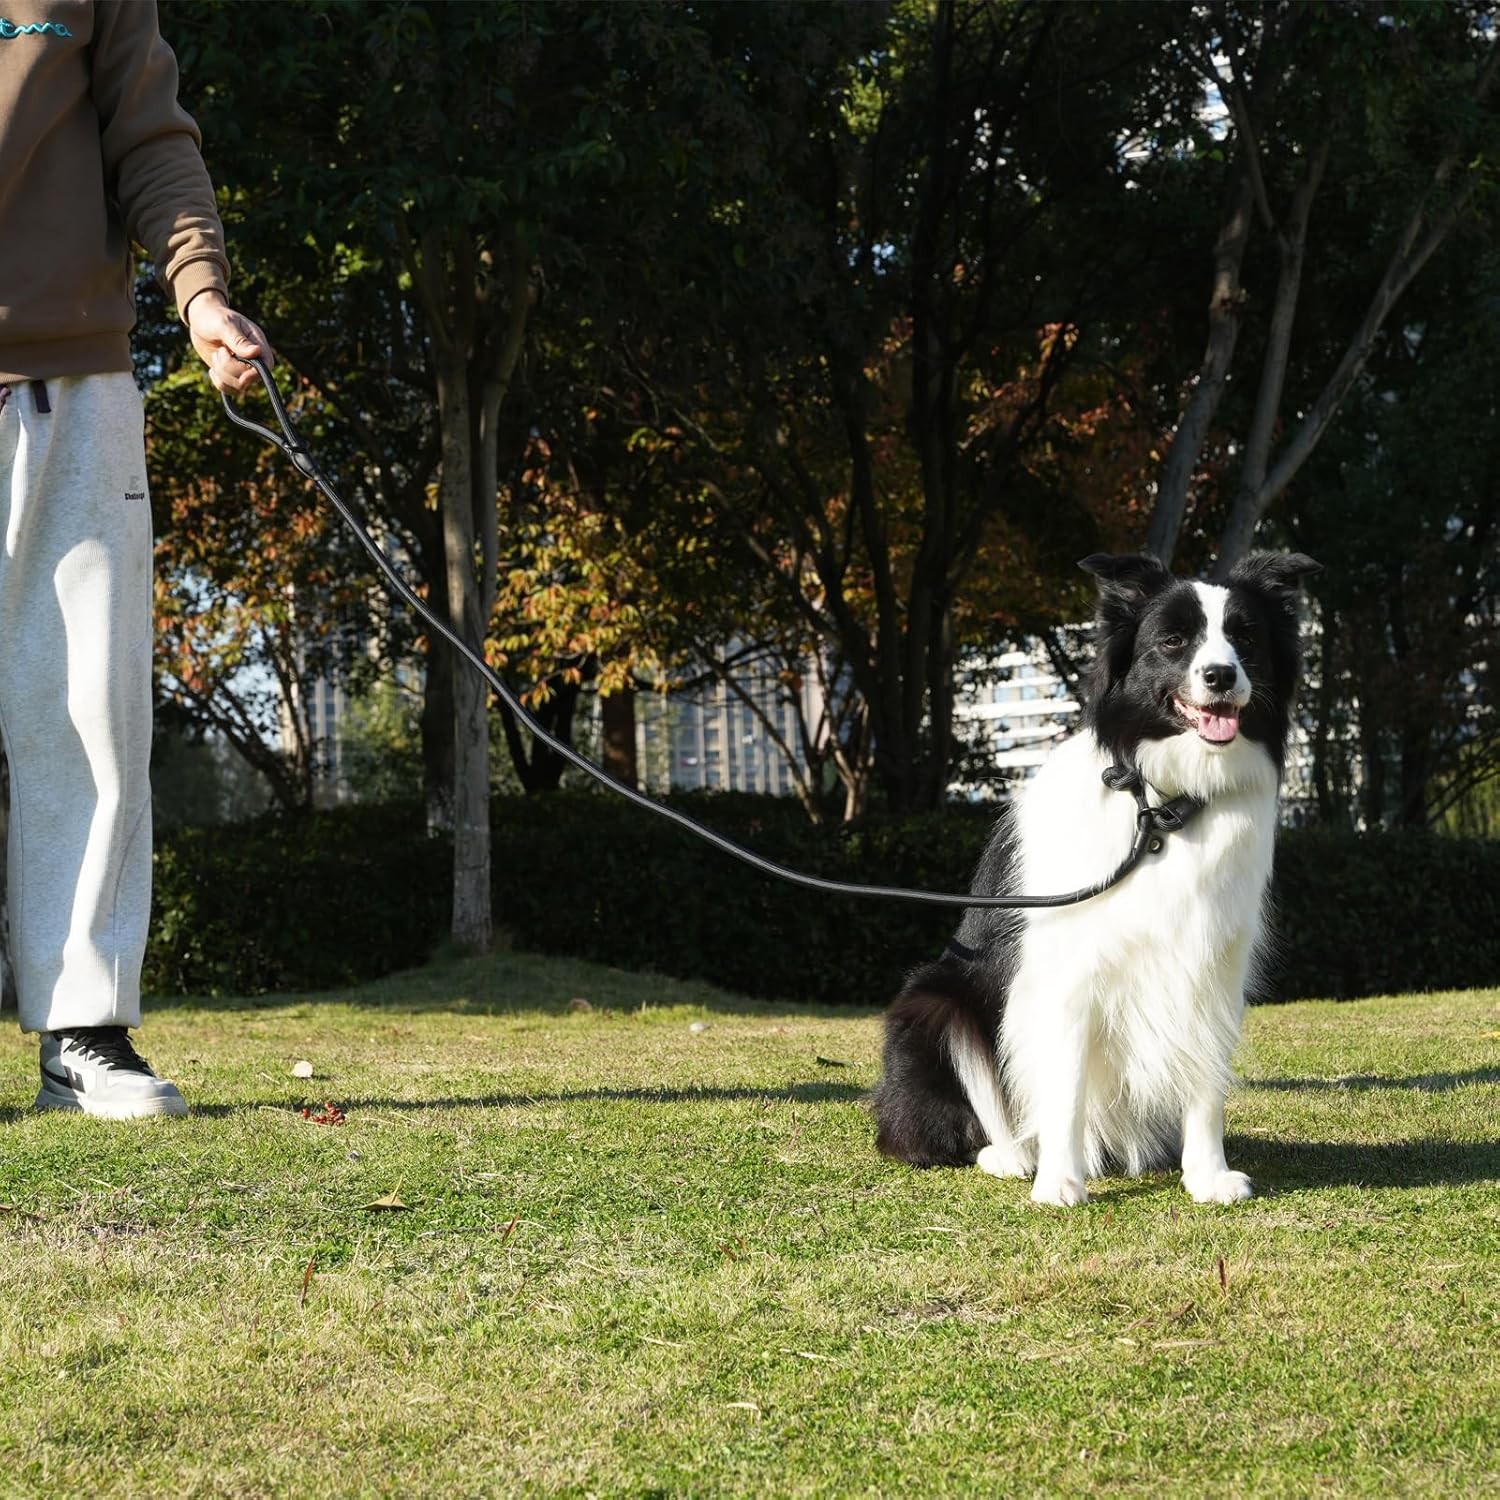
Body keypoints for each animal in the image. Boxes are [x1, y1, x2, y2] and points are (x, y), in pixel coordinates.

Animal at [872, 551, 1320, 1206]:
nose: (1220, 675)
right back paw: (1013, 1155)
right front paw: (1060, 1182)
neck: (1160, 807)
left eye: (1245, 637)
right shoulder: (1066, 972)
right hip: (934, 1003)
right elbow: (1064, 1087)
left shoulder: (1214, 962)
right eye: (1173, 640)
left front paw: (1206, 1175)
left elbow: (1207, 1079)